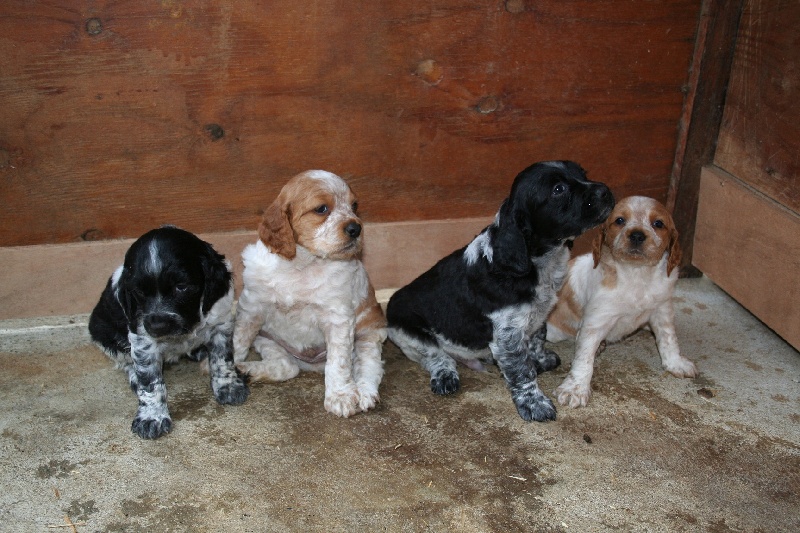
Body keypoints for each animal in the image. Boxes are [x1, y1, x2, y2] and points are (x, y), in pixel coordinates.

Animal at [89, 224, 248, 436]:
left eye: (181, 287)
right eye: (138, 292)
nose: (158, 325)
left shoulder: (221, 324)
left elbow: (223, 360)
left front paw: (229, 386)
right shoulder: (143, 339)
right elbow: (149, 382)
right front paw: (151, 417)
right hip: (102, 331)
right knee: (124, 362)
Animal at [231, 168, 388, 418]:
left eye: (354, 206)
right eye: (321, 209)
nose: (356, 229)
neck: (302, 264)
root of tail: (311, 365)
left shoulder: (338, 320)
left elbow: (338, 364)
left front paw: (341, 397)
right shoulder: (251, 308)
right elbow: (238, 341)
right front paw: (224, 372)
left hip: (370, 336)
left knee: (369, 367)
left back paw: (363, 393)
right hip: (266, 338)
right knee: (287, 367)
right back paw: (247, 370)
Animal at [386, 160, 612, 422]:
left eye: (582, 174)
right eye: (558, 189)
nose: (606, 191)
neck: (537, 262)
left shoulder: (539, 313)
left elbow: (537, 338)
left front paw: (541, 359)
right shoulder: (508, 333)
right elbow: (522, 372)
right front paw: (534, 404)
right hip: (407, 331)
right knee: (435, 355)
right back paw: (445, 375)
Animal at [548, 195, 696, 408]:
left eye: (658, 223)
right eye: (619, 220)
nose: (637, 235)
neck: (637, 273)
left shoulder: (662, 310)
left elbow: (668, 339)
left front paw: (675, 363)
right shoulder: (595, 323)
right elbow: (584, 358)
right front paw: (575, 389)